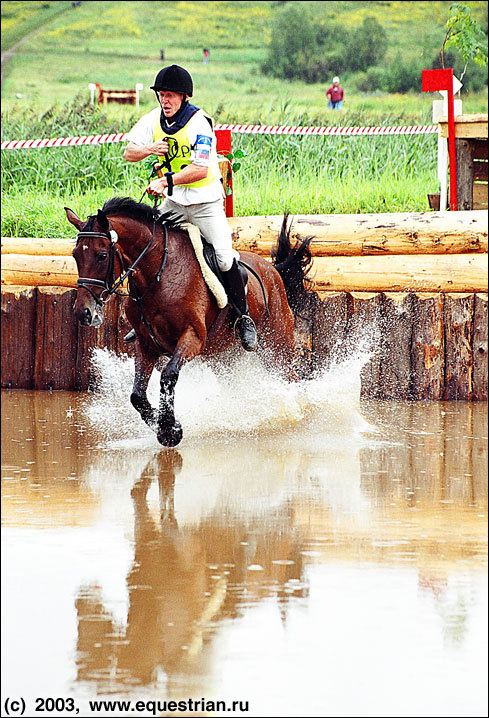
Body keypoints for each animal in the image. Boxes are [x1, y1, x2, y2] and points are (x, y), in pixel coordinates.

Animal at [65, 197, 313, 447]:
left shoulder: (193, 337)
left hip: (278, 345)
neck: (158, 275)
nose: (83, 312)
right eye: (75, 254)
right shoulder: (145, 343)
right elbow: (137, 395)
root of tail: (273, 270)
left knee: (289, 377)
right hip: (224, 357)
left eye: (102, 255)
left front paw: (169, 429)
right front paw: (162, 425)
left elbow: (168, 375)